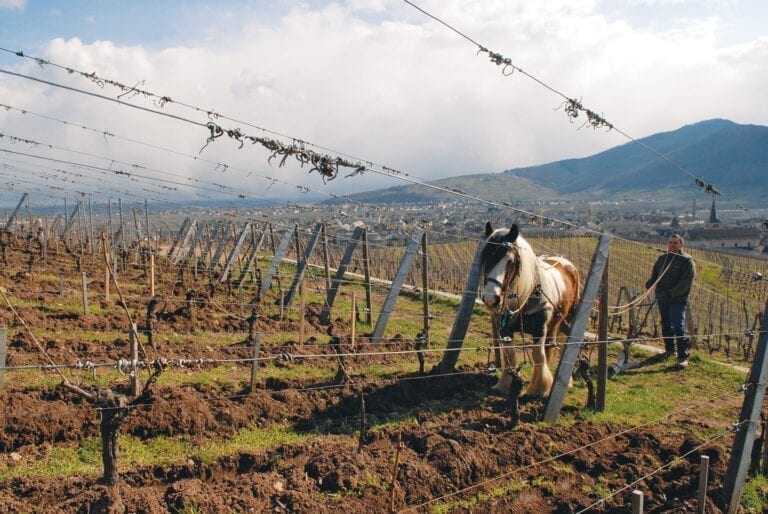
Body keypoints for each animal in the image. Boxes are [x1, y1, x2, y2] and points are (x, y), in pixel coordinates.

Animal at [480, 221, 584, 396]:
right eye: (485, 258)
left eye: (511, 262)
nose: (490, 299)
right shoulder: (505, 330)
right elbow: (510, 355)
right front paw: (504, 385)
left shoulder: (539, 330)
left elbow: (538, 356)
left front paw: (539, 388)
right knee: (550, 345)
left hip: (568, 320)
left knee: (562, 346)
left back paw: (566, 381)